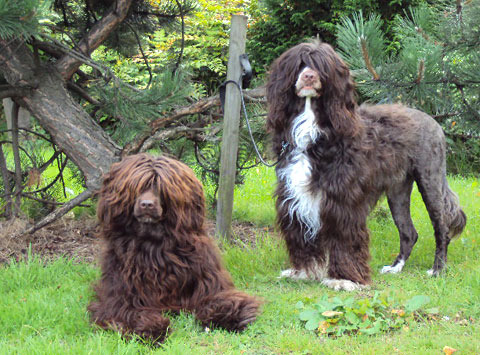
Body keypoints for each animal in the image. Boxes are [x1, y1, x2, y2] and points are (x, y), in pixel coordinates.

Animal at [86, 154, 258, 342]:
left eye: (160, 188)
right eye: (137, 187)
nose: (147, 204)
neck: (154, 244)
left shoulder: (208, 282)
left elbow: (223, 299)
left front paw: (231, 316)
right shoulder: (120, 296)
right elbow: (130, 312)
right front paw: (151, 328)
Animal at [266, 41, 464, 292]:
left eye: (321, 66)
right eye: (300, 63)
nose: (309, 76)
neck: (313, 126)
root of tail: (433, 121)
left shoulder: (343, 199)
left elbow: (343, 237)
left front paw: (344, 279)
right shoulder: (294, 194)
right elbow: (301, 232)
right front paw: (303, 272)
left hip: (430, 177)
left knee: (442, 226)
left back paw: (438, 269)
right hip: (398, 189)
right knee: (409, 232)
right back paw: (396, 267)